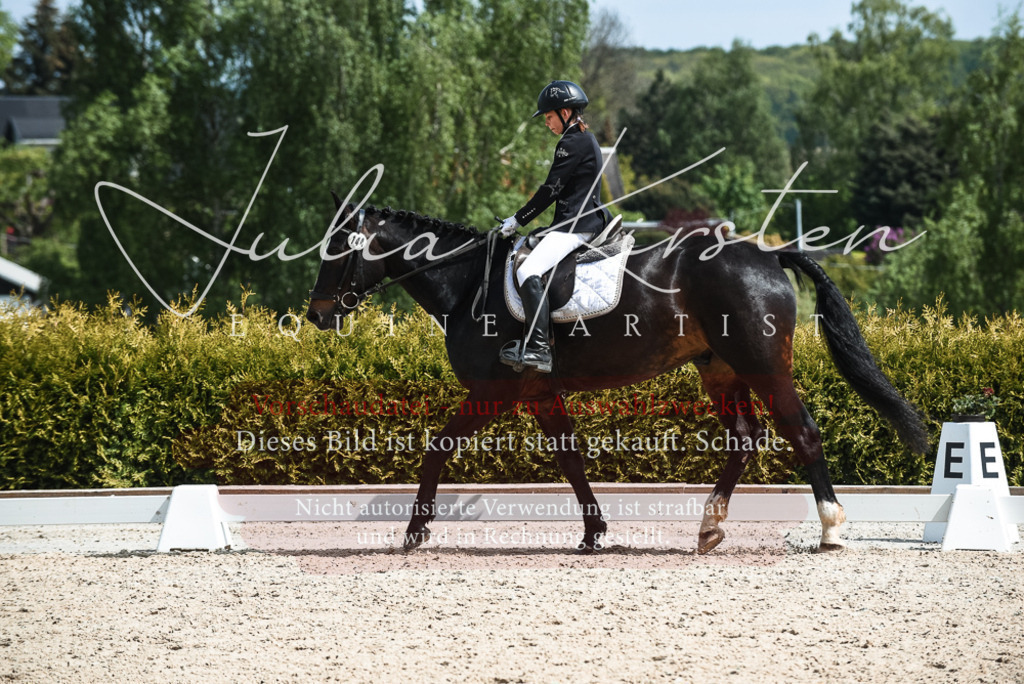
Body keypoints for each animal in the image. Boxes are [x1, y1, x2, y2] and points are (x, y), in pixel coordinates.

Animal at [306, 200, 929, 554]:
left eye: (338, 248)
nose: (316, 315)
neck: (467, 286)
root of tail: (768, 255)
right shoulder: (539, 393)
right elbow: (570, 460)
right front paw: (593, 533)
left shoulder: (492, 392)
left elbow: (437, 449)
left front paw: (415, 531)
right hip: (721, 370)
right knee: (744, 439)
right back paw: (709, 527)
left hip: (763, 365)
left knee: (802, 432)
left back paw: (830, 529)